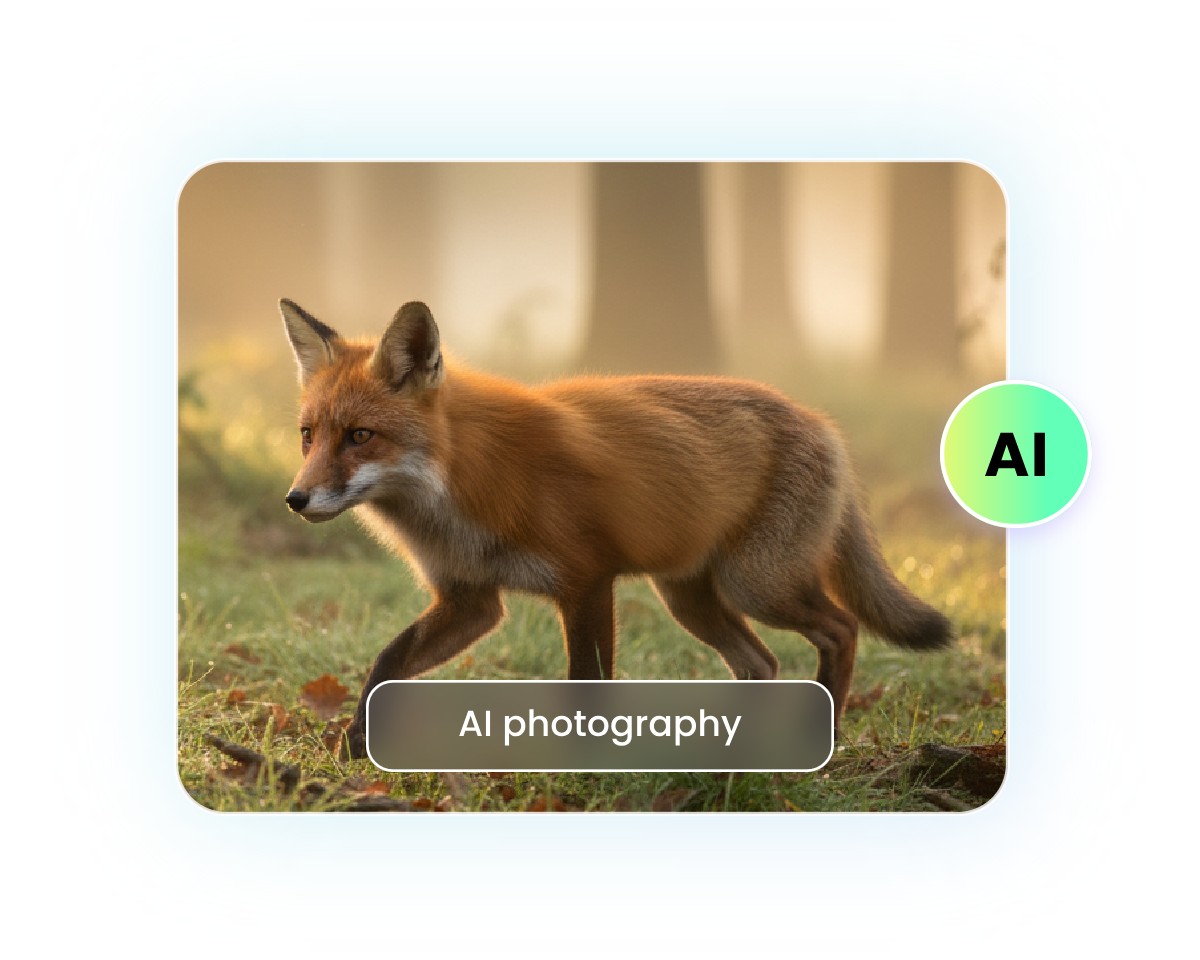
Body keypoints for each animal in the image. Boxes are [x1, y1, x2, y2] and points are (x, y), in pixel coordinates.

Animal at [280, 298, 953, 758]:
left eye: (360, 436)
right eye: (309, 435)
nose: (295, 498)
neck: (461, 489)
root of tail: (821, 422)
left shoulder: (586, 581)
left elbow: (586, 685)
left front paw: (583, 767)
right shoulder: (471, 600)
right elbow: (386, 662)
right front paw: (352, 748)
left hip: (756, 585)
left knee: (841, 629)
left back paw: (822, 737)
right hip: (687, 597)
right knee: (761, 662)